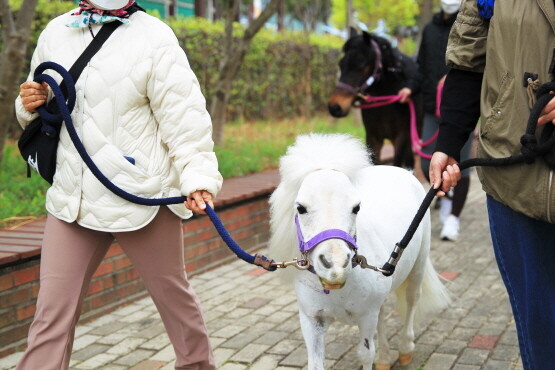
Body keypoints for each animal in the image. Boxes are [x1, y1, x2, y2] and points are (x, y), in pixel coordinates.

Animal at [270, 134, 452, 370]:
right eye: (300, 208)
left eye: (356, 207)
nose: (335, 266)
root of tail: (404, 172)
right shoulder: (312, 321)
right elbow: (316, 363)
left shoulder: (366, 317)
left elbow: (366, 354)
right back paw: (384, 359)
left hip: (418, 266)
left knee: (412, 300)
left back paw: (405, 349)